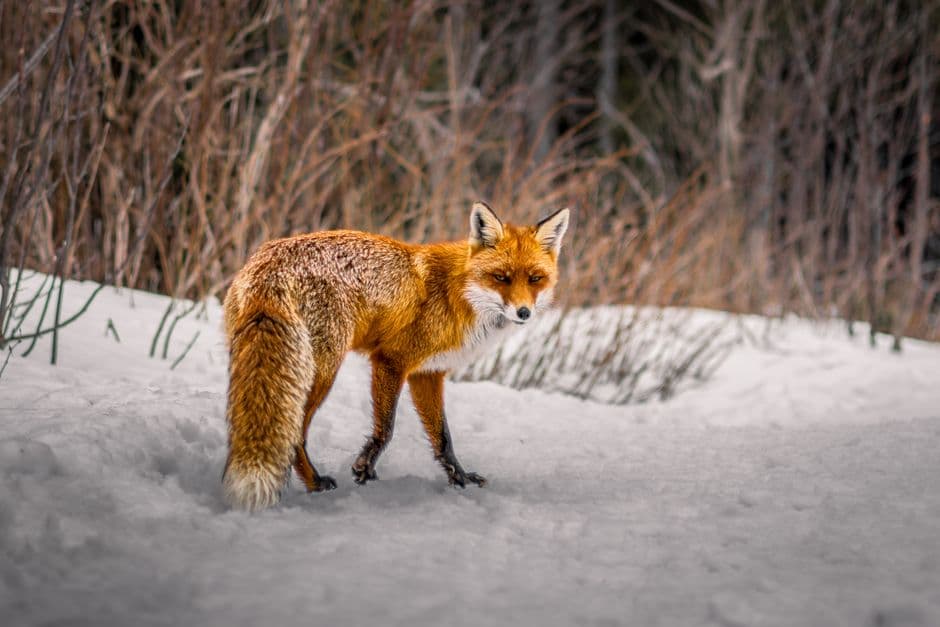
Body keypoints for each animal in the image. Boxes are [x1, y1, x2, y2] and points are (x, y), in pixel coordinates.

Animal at [221, 201, 570, 511]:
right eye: (501, 277)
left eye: (535, 279)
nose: (523, 312)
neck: (456, 294)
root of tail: (267, 263)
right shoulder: (391, 361)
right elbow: (386, 429)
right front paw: (364, 469)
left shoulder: (427, 373)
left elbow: (443, 438)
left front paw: (460, 480)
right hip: (321, 371)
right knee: (294, 434)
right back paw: (316, 484)